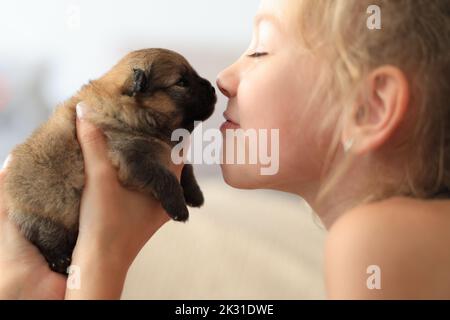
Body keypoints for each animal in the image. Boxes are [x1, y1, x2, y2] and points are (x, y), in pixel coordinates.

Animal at [2, 48, 216, 274]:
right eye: (182, 82)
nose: (212, 88)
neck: (127, 110)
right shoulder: (130, 158)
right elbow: (164, 176)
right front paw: (178, 206)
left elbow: (186, 167)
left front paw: (195, 194)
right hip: (42, 217)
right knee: (44, 238)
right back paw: (59, 260)